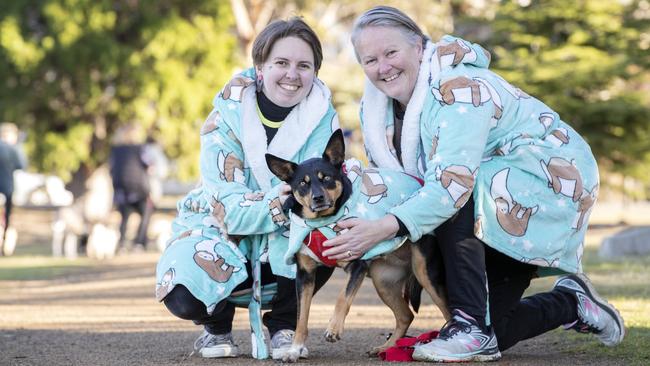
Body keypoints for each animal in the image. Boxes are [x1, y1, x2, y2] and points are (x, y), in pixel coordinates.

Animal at [266, 130, 448, 362]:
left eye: (326, 178)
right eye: (303, 184)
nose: (318, 198)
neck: (322, 222)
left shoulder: (357, 266)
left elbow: (342, 297)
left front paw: (333, 329)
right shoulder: (305, 276)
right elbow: (301, 318)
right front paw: (294, 350)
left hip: (425, 273)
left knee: (448, 311)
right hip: (383, 280)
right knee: (405, 315)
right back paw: (386, 347)